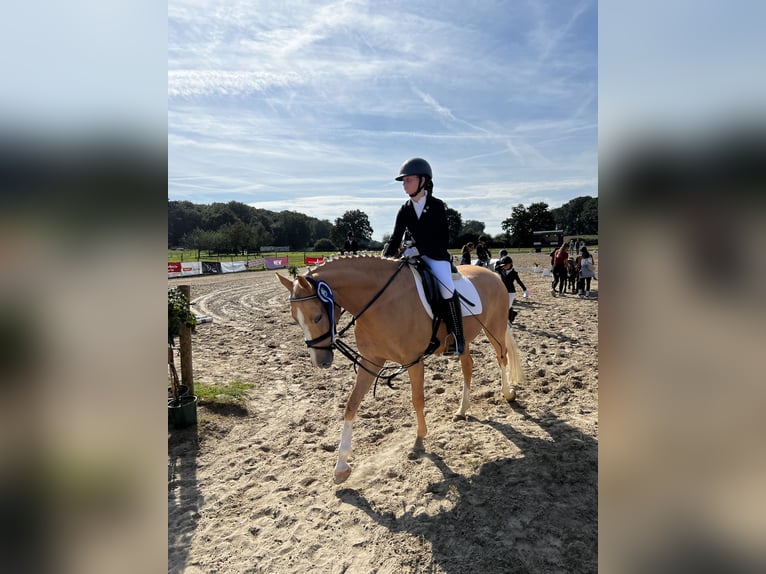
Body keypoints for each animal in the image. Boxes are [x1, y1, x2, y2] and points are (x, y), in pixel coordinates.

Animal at [278, 254, 528, 484]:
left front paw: (419, 441)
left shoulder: (414, 361)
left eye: (318, 316)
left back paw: (508, 394)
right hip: (462, 340)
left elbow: (417, 399)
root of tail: (492, 274)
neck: (380, 301)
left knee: (502, 357)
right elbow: (351, 405)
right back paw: (462, 410)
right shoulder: (370, 362)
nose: (320, 362)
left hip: (494, 328)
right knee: (468, 366)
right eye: (294, 319)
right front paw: (341, 466)